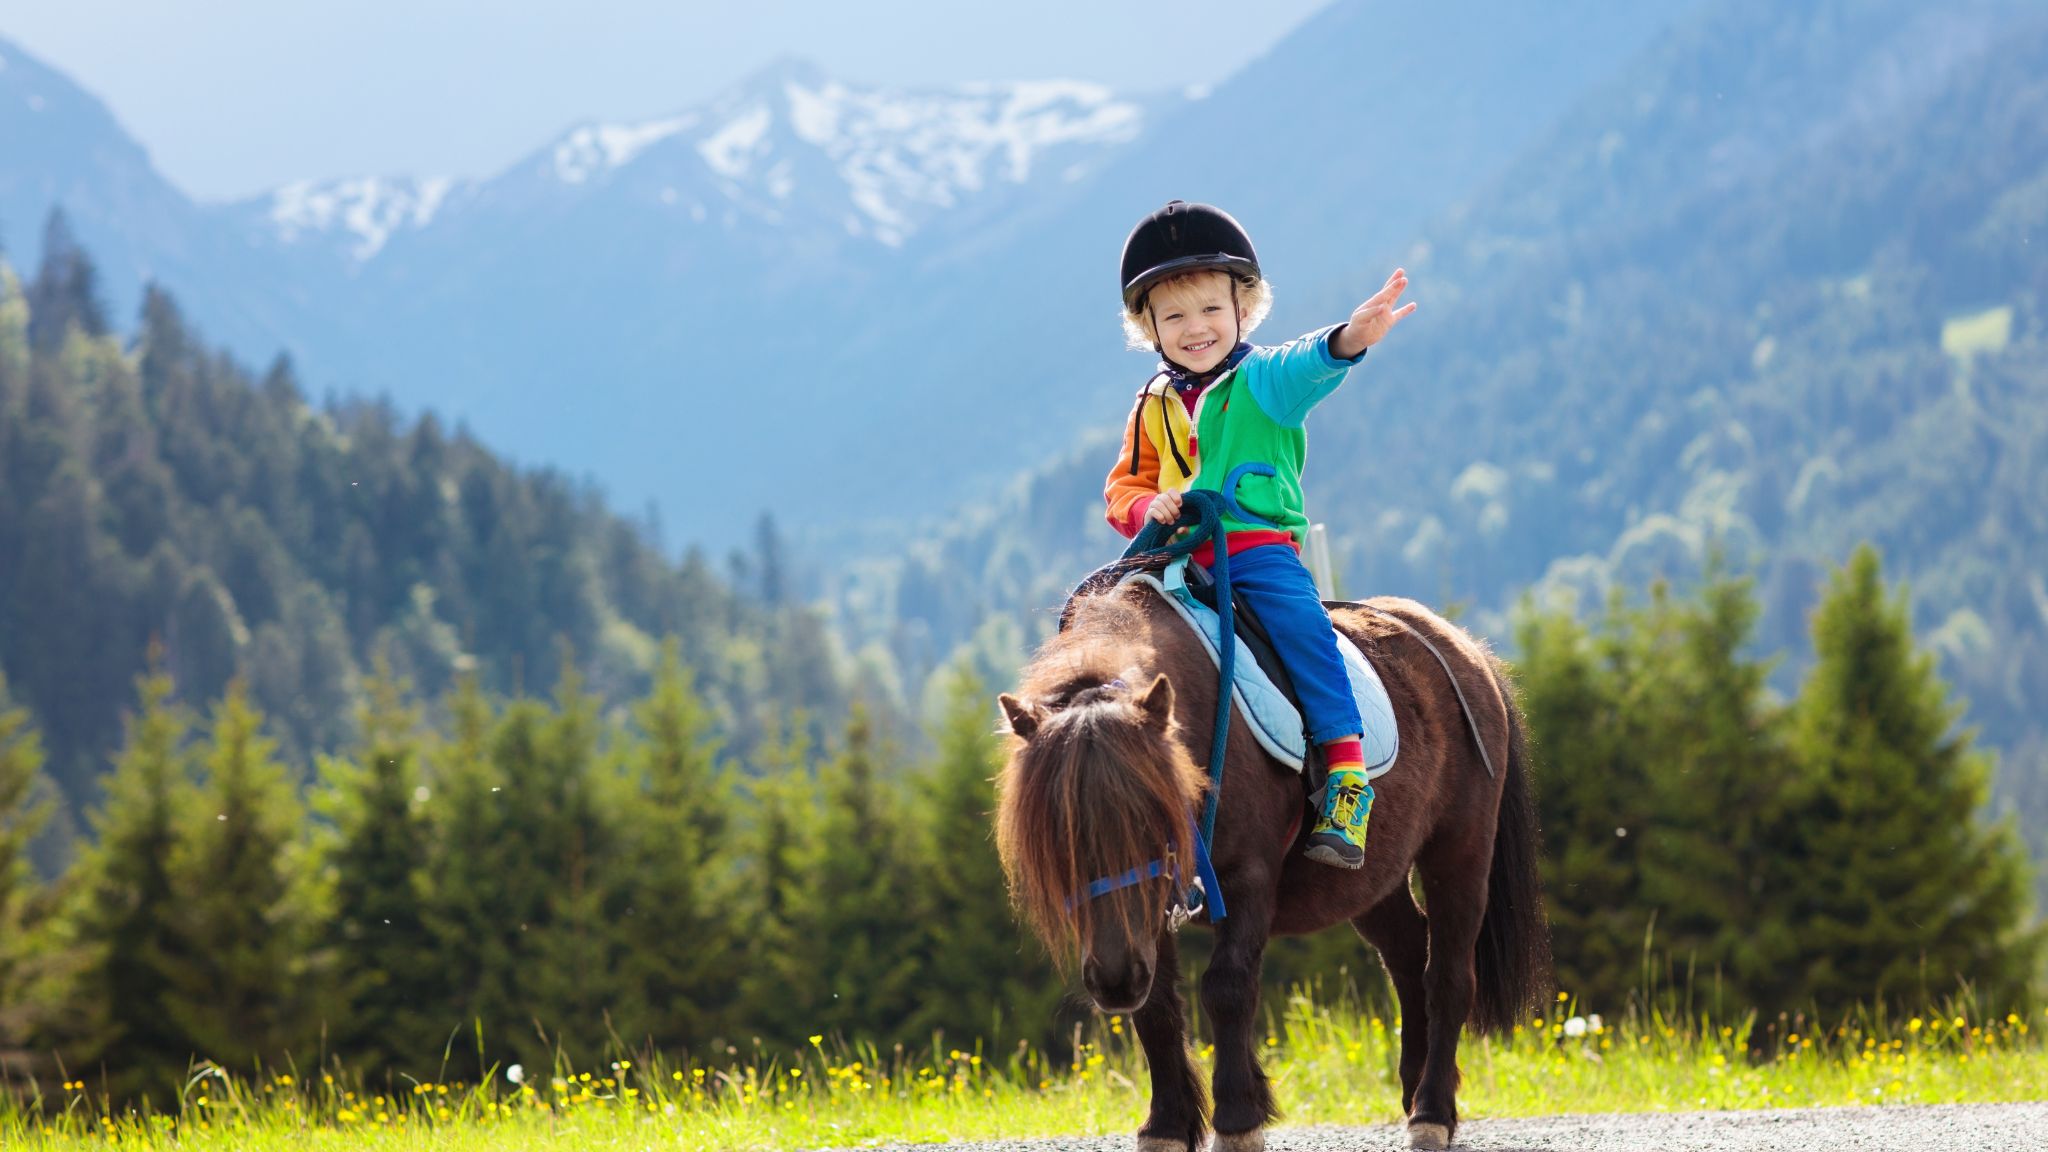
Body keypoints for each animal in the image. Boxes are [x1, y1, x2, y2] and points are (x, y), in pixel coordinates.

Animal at [995, 583, 1551, 1152]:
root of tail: (1468, 651)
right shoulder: (1147, 917)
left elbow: (1227, 988)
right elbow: (1156, 1009)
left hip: (1460, 852)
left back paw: (1432, 1110)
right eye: (1054, 833)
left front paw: (1239, 1117)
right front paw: (1167, 1124)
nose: (1113, 981)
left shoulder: (1248, 881)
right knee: (1408, 956)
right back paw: (1415, 1092)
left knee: (1448, 977)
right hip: (1374, 884)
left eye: (1153, 819)